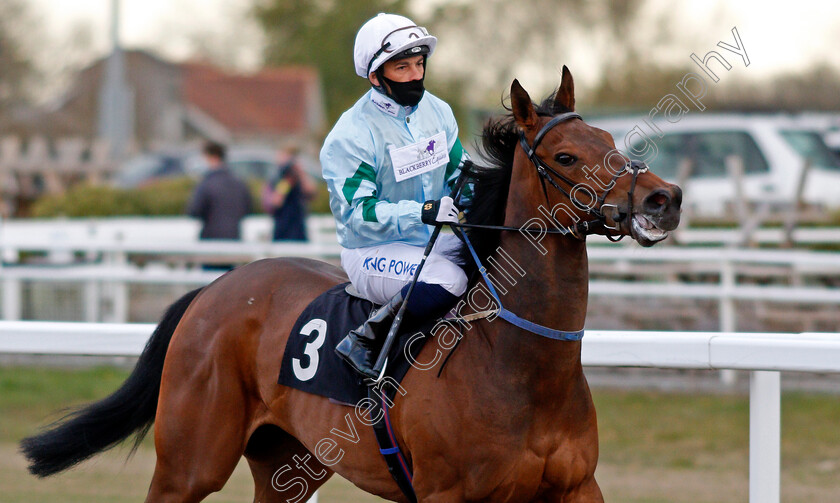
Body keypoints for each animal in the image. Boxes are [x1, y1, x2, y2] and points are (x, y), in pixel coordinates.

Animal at [23, 68, 684, 503]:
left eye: (611, 141)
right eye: (567, 156)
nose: (664, 198)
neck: (520, 361)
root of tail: (214, 290)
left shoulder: (577, 487)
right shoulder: (447, 494)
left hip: (287, 464)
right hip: (190, 463)